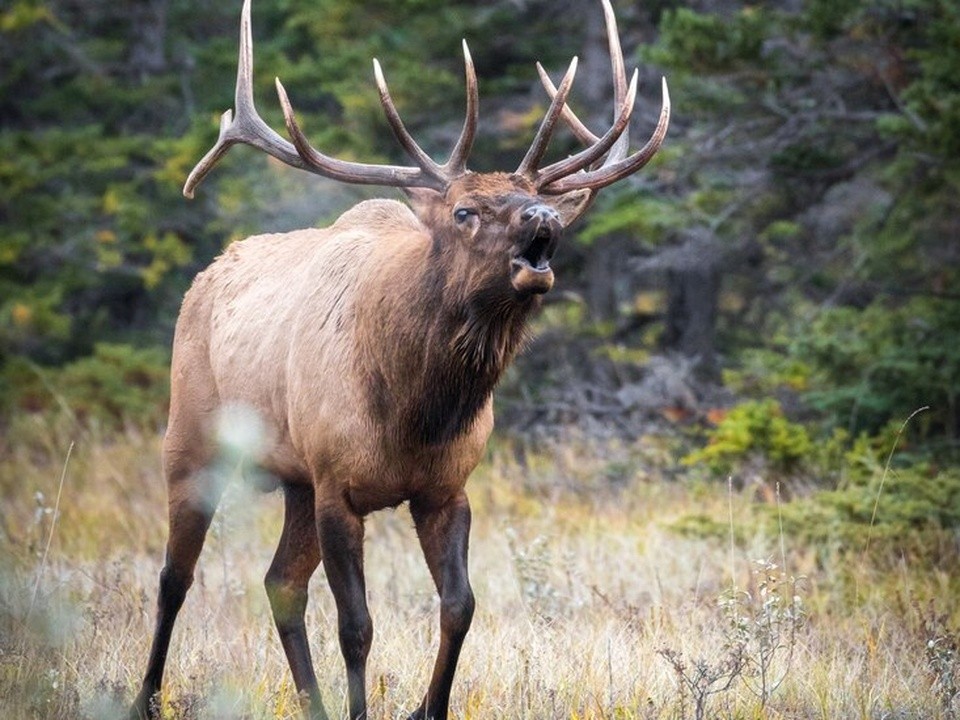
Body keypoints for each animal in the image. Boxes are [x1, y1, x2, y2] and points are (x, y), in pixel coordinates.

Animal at [131, 1, 672, 716]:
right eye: (465, 210)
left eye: (539, 200)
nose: (544, 218)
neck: (412, 410)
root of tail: (204, 277)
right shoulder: (338, 484)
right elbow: (356, 626)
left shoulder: (445, 487)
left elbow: (460, 606)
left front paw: (426, 706)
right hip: (190, 437)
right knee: (175, 575)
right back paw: (145, 696)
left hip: (296, 479)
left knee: (279, 582)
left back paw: (311, 703)